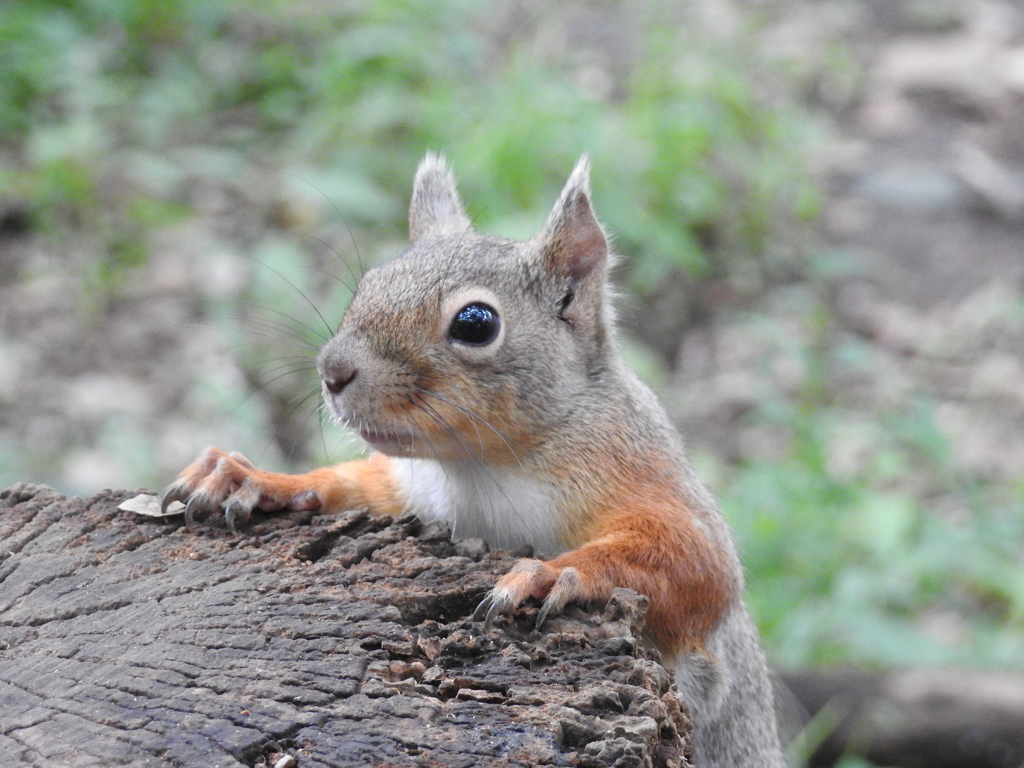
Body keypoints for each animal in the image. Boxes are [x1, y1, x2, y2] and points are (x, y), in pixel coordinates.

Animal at [161, 153, 782, 765]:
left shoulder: (649, 477)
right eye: (370, 282)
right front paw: (254, 479)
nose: (332, 372)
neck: (482, 469)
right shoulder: (416, 490)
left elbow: (696, 565)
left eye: (476, 322)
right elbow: (354, 484)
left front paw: (552, 573)